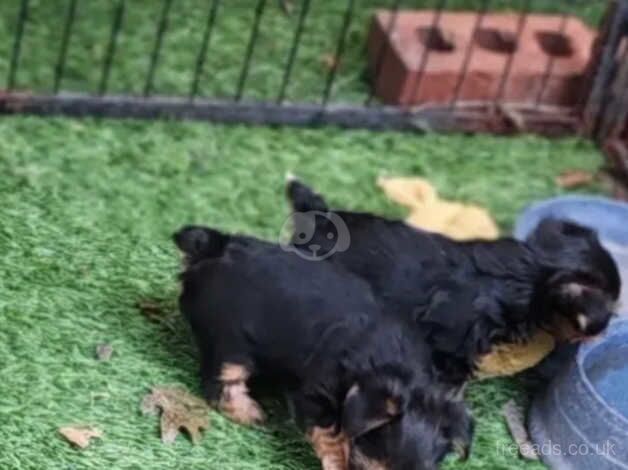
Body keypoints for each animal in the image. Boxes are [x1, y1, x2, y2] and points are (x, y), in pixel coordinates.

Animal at [174, 226, 474, 470]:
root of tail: (216, 248)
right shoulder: (316, 391)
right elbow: (330, 432)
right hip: (229, 339)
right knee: (222, 379)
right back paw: (248, 411)